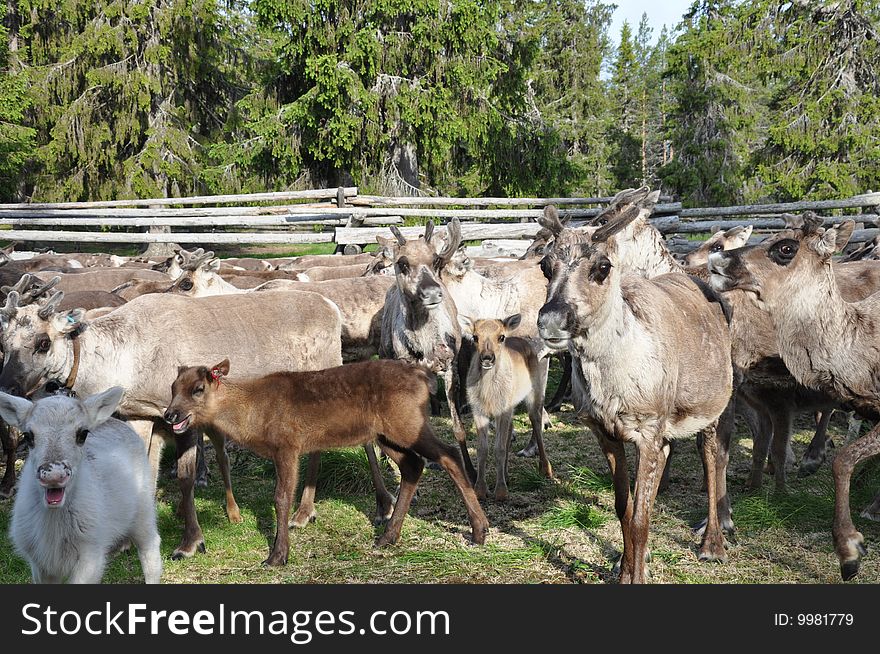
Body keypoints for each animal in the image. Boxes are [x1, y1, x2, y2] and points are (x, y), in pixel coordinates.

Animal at [0, 390, 162, 584]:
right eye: (28, 436)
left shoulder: (91, 554)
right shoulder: (40, 563)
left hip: (144, 507)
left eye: (83, 434)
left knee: (150, 549)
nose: (54, 474)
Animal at [160, 356, 488, 568]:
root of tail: (424, 378)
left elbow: (281, 498)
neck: (253, 419)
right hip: (387, 434)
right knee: (413, 466)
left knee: (448, 454)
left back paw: (479, 530)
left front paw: (277, 556)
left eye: (198, 389)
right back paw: (388, 537)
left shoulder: (288, 444)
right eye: (173, 388)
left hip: (408, 423)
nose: (170, 414)